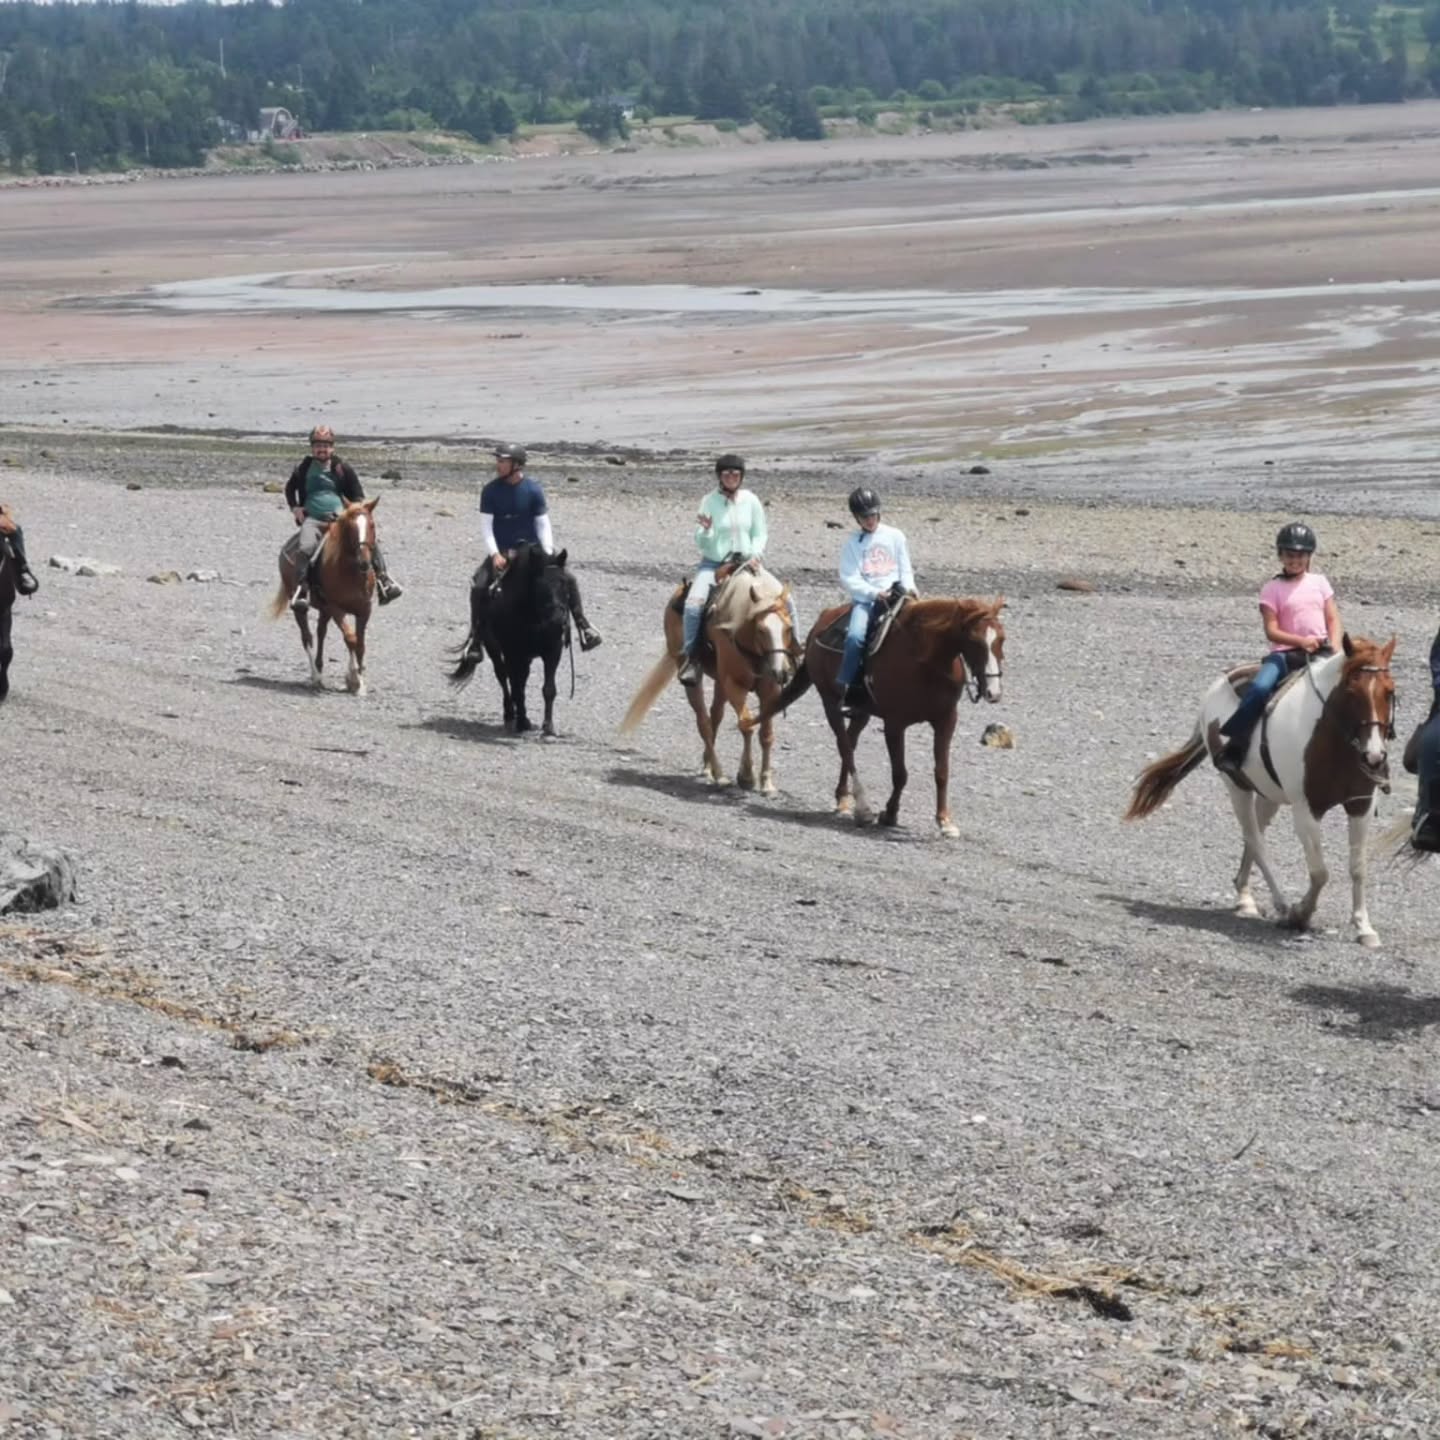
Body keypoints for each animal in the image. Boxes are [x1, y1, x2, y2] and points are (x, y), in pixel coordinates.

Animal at [268, 498, 379, 694]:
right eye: (350, 527)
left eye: (372, 525)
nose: (364, 562)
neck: (352, 574)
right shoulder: (336, 608)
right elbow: (350, 639)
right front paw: (354, 679)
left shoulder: (364, 610)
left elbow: (360, 644)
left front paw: (359, 682)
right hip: (300, 607)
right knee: (307, 637)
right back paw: (316, 677)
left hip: (324, 610)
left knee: (321, 632)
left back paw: (320, 669)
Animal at [449, 541, 569, 736]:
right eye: (540, 585)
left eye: (565, 583)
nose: (559, 620)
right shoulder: (513, 653)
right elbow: (516, 686)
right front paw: (521, 722)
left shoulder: (553, 651)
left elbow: (548, 689)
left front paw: (548, 727)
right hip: (494, 649)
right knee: (503, 676)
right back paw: (510, 715)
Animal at [620, 562, 797, 792]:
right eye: (761, 629)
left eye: (789, 628)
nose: (781, 671)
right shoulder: (734, 685)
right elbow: (747, 724)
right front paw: (747, 776)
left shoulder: (769, 689)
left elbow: (766, 734)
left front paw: (767, 783)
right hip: (693, 679)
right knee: (703, 722)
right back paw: (719, 774)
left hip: (720, 683)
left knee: (715, 716)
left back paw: (708, 767)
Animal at [751, 595, 1005, 834]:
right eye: (975, 641)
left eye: (1001, 639)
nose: (993, 692)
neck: (925, 660)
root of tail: (820, 623)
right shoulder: (895, 724)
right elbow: (900, 773)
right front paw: (890, 814)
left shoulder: (946, 720)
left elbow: (941, 771)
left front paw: (945, 821)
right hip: (830, 702)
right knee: (845, 747)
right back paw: (862, 808)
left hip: (862, 712)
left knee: (850, 743)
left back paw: (843, 798)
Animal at [1125, 633, 1397, 948]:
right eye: (1352, 692)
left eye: (1389, 692)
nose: (1374, 756)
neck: (1332, 740)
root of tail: (1215, 688)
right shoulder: (1305, 810)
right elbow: (1320, 873)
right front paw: (1300, 914)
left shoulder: (1360, 805)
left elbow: (1358, 867)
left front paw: (1364, 927)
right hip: (1236, 786)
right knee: (1255, 839)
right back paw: (1274, 904)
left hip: (1268, 795)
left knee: (1255, 835)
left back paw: (1245, 895)